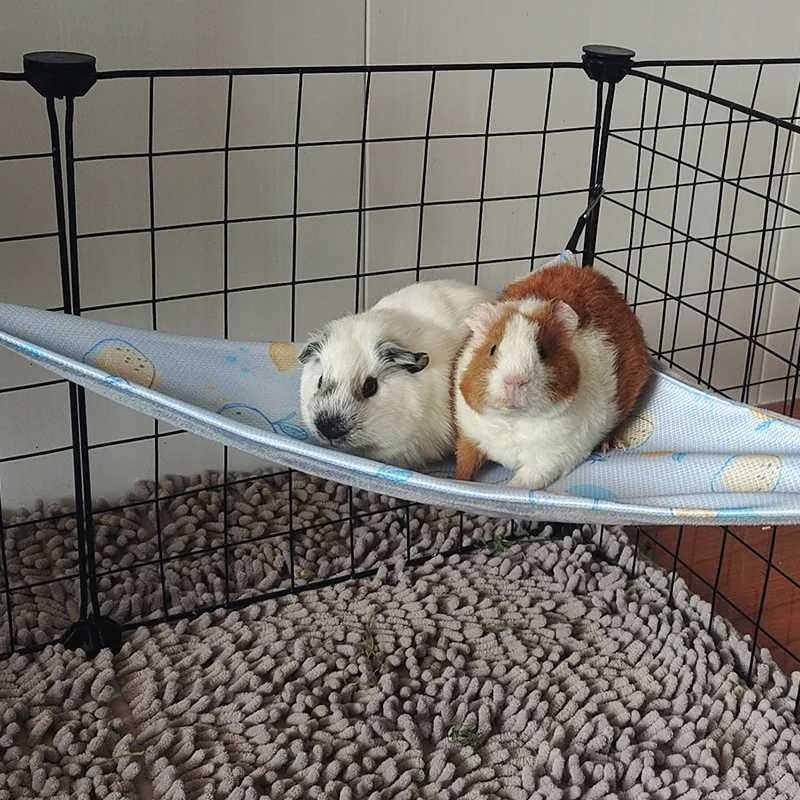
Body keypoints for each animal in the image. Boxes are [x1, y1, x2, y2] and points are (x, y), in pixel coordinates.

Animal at [453, 262, 650, 488]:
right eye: (492, 349)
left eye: (543, 352)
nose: (515, 381)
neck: (513, 421)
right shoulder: (470, 437)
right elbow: (464, 466)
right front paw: (457, 481)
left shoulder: (547, 461)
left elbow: (521, 484)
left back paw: (611, 444)